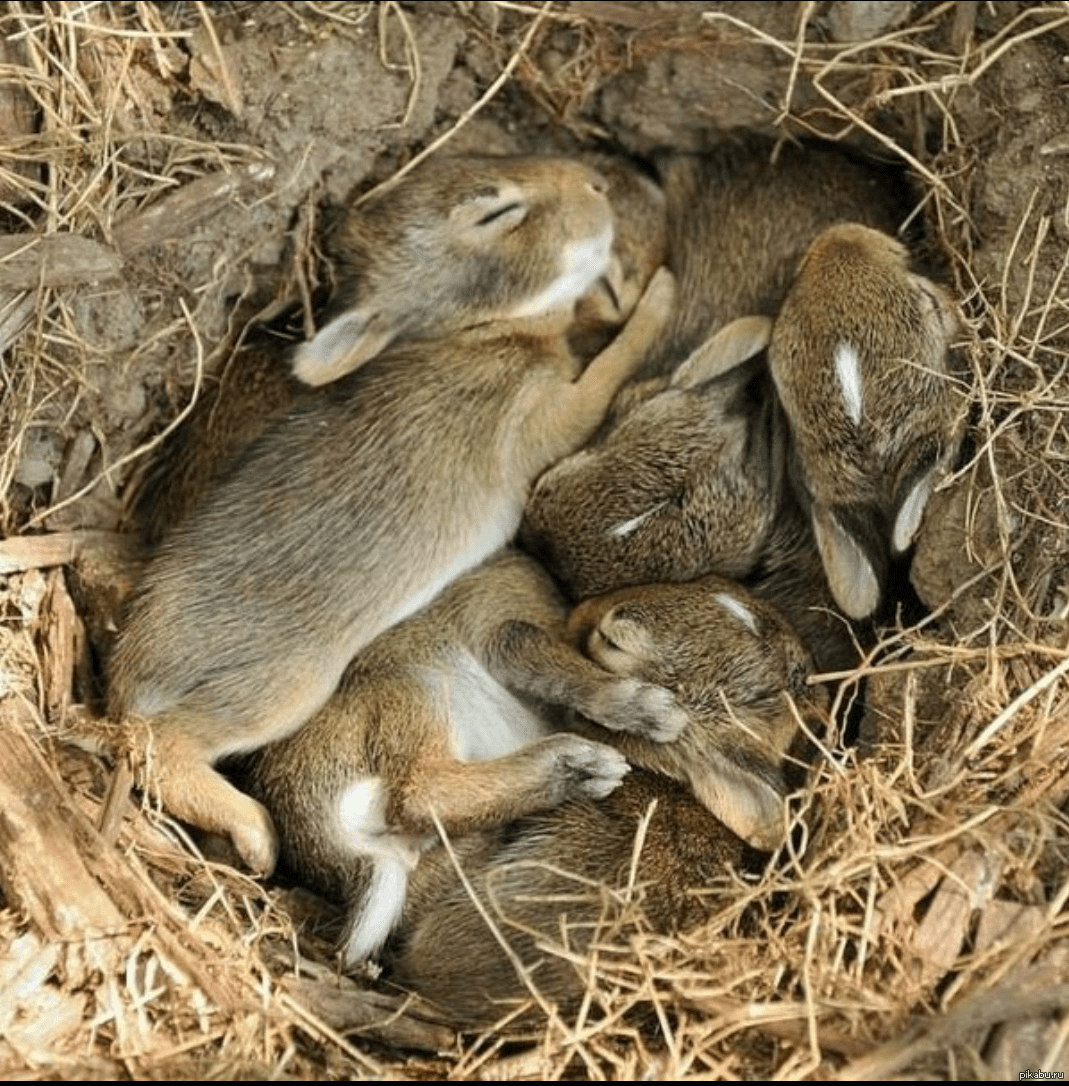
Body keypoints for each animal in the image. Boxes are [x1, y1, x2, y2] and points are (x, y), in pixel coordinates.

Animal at [108, 155, 677, 873]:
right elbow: (610, 368)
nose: (592, 182)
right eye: (496, 214)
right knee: (159, 742)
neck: (482, 334)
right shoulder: (541, 414)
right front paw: (662, 294)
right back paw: (254, 832)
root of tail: (126, 672)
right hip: (283, 687)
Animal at [235, 551, 686, 968]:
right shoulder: (511, 639)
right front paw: (651, 710)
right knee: (419, 792)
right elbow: (569, 675)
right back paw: (579, 766)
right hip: (419, 685)